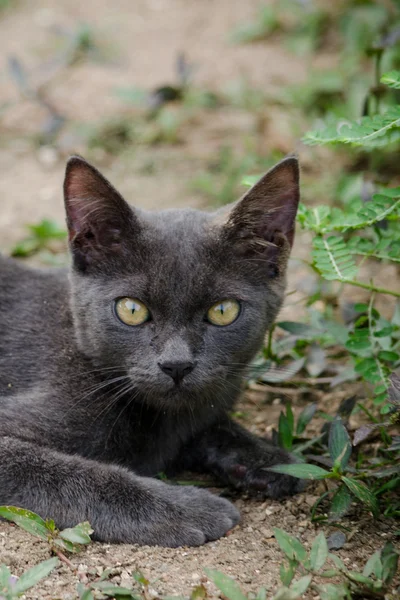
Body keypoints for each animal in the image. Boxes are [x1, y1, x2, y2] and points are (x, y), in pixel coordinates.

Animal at [0, 156, 300, 548]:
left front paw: (269, 458)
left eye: (223, 311)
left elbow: (211, 426)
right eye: (131, 309)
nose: (176, 364)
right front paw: (185, 509)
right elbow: (70, 474)